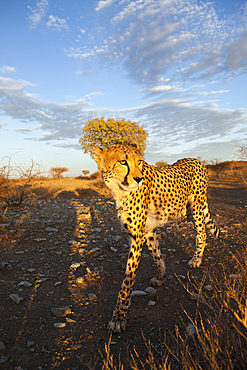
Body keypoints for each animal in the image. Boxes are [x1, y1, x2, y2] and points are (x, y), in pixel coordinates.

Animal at [92, 142, 220, 332]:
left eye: (139, 162)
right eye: (122, 161)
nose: (138, 179)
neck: (119, 190)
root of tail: (195, 160)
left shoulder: (137, 236)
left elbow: (127, 281)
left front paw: (119, 318)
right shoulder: (147, 230)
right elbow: (157, 256)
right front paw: (161, 278)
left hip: (196, 206)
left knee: (202, 232)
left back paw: (196, 260)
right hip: (189, 210)